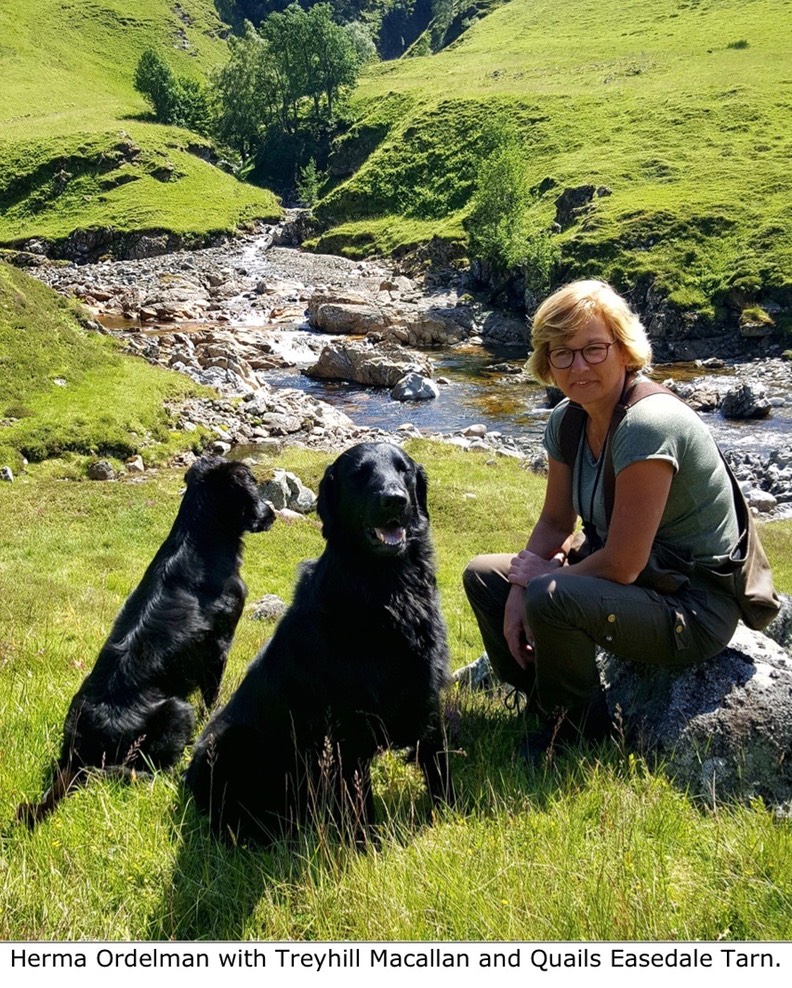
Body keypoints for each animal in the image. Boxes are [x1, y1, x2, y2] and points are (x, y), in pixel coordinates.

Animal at [16, 456, 276, 824]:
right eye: (253, 486)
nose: (272, 515)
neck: (201, 540)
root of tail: (81, 750)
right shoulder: (219, 646)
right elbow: (212, 698)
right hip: (177, 709)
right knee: (146, 770)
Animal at [186, 444, 454, 844]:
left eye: (404, 469)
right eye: (359, 474)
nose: (394, 500)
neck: (388, 589)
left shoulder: (427, 691)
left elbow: (438, 765)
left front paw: (449, 817)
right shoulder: (348, 721)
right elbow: (360, 799)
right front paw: (365, 845)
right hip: (230, 742)